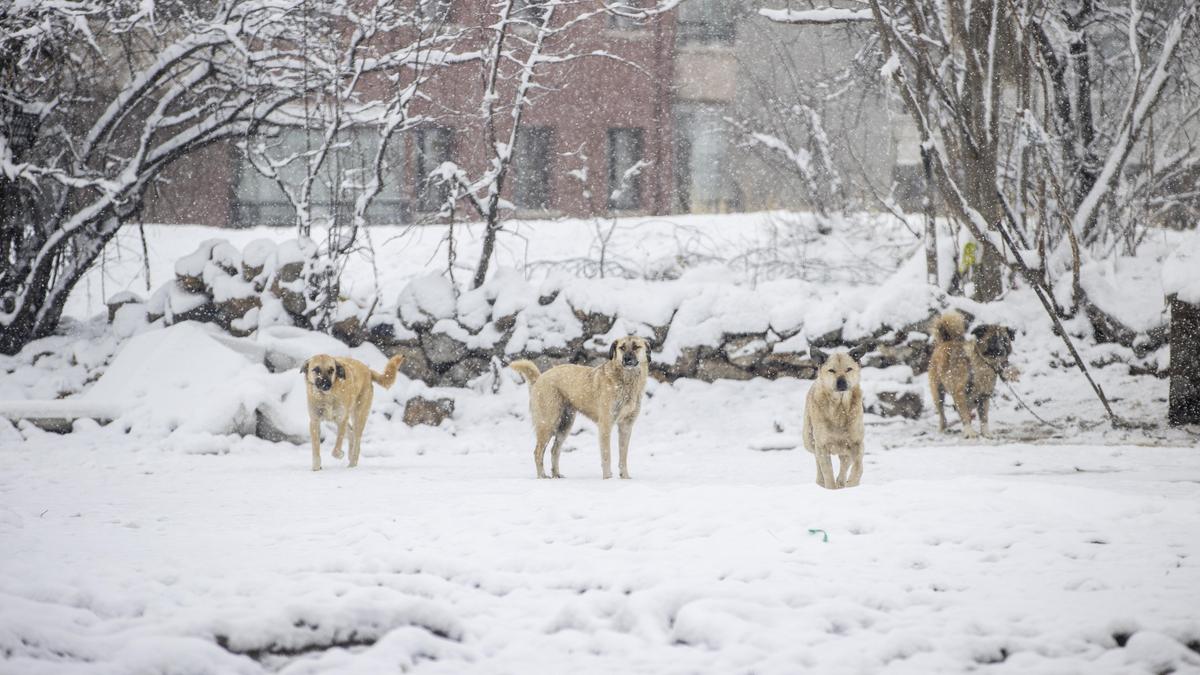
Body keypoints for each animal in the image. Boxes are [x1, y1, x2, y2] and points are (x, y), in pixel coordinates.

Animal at [511, 336, 652, 478]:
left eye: (636, 347)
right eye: (622, 347)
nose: (627, 359)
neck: (626, 381)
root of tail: (540, 378)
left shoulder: (626, 426)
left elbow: (623, 455)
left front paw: (625, 477)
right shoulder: (605, 425)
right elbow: (607, 455)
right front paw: (608, 478)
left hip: (565, 425)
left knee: (554, 450)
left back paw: (556, 475)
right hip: (548, 423)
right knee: (538, 452)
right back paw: (542, 477)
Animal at [801, 343, 868, 485]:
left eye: (848, 369)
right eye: (831, 370)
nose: (841, 381)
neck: (839, 408)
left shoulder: (857, 442)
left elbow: (858, 467)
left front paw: (852, 483)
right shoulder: (822, 445)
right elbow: (827, 473)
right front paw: (830, 486)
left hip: (845, 449)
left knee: (845, 465)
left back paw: (842, 482)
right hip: (809, 440)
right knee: (817, 460)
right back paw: (821, 481)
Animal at [921, 309, 1017, 437]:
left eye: (1004, 340)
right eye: (992, 340)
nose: (1001, 351)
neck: (982, 363)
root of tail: (945, 341)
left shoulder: (984, 396)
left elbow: (984, 417)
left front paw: (985, 433)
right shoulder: (960, 393)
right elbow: (965, 415)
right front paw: (969, 432)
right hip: (938, 393)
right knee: (943, 415)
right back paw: (943, 429)